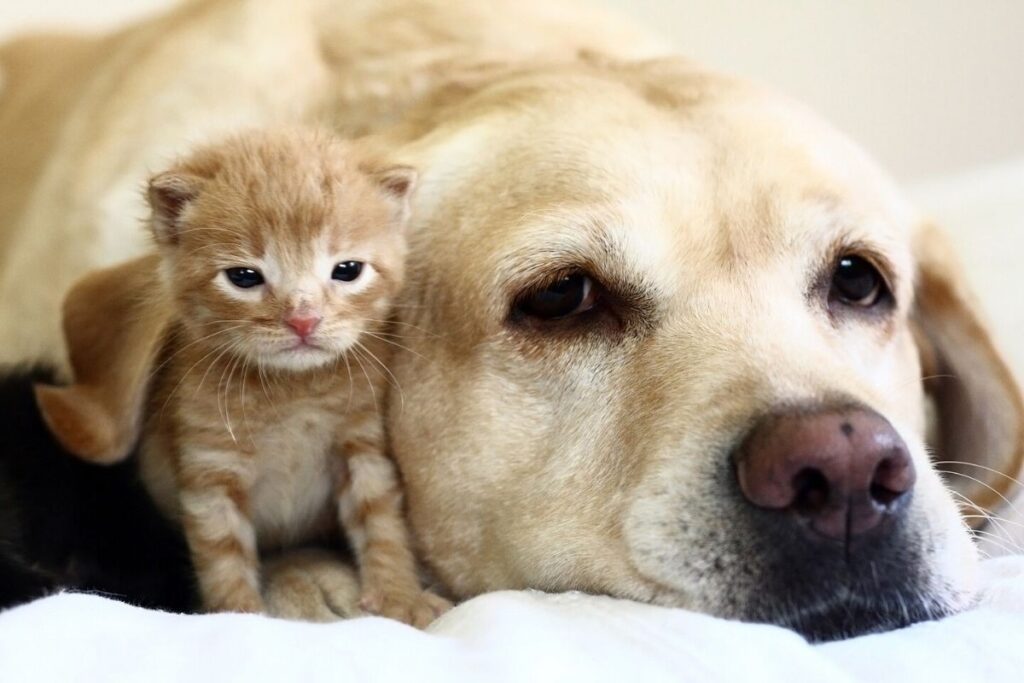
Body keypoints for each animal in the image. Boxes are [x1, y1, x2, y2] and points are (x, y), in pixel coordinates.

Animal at [130, 127, 446, 626]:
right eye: (243, 277)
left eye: (347, 270)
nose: (303, 319)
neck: (292, 392)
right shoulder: (211, 469)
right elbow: (223, 555)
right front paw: (240, 617)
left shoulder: (362, 445)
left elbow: (382, 523)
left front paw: (400, 595)